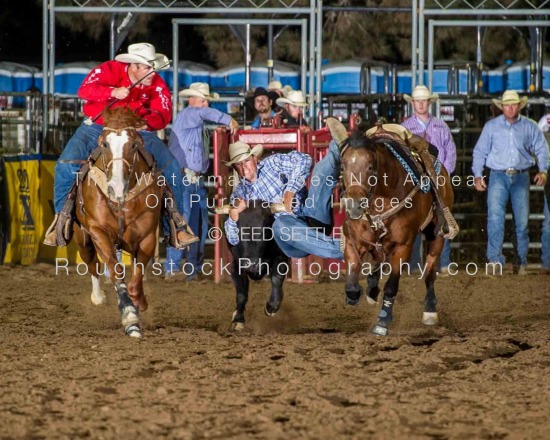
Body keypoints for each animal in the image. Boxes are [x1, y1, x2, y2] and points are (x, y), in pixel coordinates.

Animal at [74, 108, 163, 338]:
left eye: (133, 145)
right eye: (104, 144)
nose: (115, 187)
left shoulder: (147, 236)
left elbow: (136, 279)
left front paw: (139, 304)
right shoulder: (98, 231)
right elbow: (116, 272)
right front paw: (130, 317)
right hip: (83, 238)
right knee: (93, 263)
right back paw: (98, 297)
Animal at [340, 125, 458, 336]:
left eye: (370, 167)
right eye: (343, 167)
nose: (354, 205)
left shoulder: (402, 247)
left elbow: (391, 286)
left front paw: (382, 321)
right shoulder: (355, 241)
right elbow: (352, 281)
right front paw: (357, 294)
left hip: (435, 235)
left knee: (429, 273)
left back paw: (430, 311)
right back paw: (371, 289)